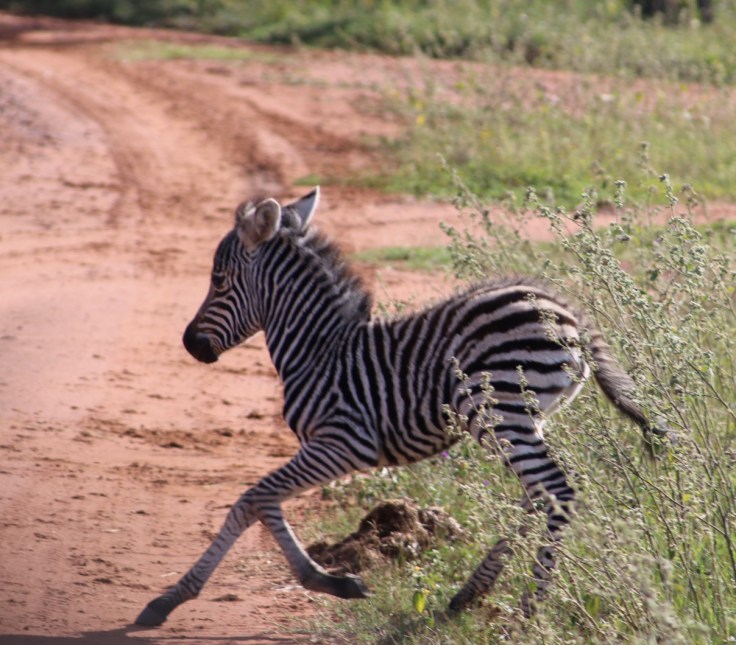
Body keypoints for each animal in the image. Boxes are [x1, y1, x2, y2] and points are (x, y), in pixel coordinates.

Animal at [135, 187, 664, 627]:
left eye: (219, 279)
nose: (189, 345)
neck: (319, 349)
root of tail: (565, 310)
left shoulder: (343, 442)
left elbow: (252, 500)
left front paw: (170, 599)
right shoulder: (330, 448)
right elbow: (264, 502)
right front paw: (332, 581)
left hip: (502, 412)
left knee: (555, 491)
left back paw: (529, 607)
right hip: (522, 419)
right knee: (535, 494)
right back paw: (469, 595)